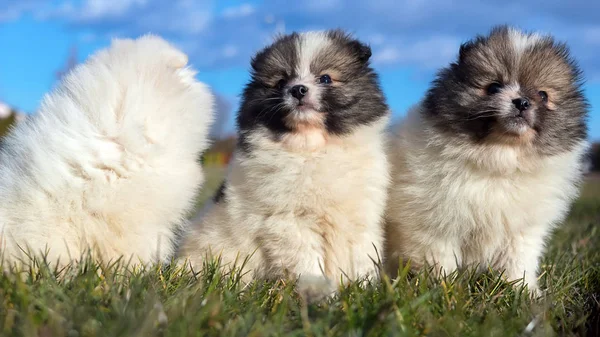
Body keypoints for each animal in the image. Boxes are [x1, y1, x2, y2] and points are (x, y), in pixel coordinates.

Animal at [180, 29, 392, 296]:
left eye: (325, 78)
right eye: (281, 82)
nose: (298, 89)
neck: (312, 148)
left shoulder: (360, 214)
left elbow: (361, 254)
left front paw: (364, 289)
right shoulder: (289, 221)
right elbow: (308, 259)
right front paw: (321, 292)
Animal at [382, 25, 588, 292]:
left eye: (543, 95)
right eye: (493, 87)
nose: (522, 102)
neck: (499, 161)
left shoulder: (521, 231)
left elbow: (518, 261)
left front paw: (523, 291)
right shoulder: (435, 225)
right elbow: (440, 259)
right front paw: (444, 289)